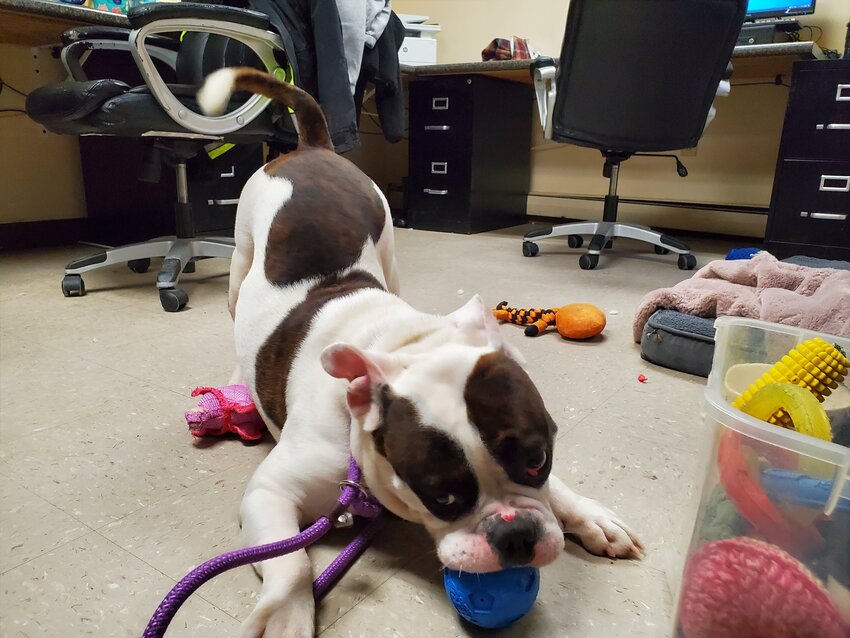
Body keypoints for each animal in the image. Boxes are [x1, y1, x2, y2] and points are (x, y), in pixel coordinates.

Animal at [195, 70, 640, 638]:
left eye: (538, 459)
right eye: (442, 497)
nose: (514, 533)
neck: (396, 346)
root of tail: (311, 147)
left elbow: (559, 489)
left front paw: (585, 513)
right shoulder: (269, 494)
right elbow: (291, 562)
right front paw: (285, 614)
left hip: (387, 247)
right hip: (240, 260)